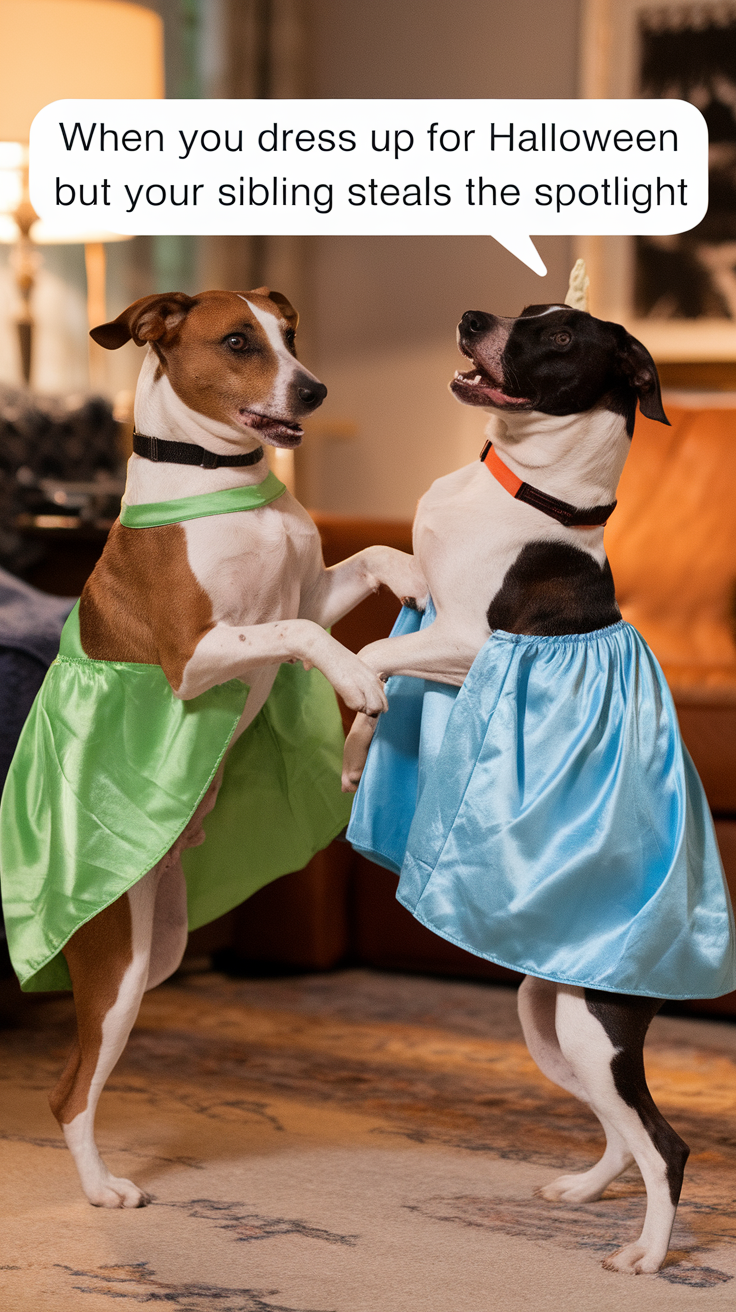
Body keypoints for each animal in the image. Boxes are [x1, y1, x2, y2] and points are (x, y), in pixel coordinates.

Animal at [50, 287, 425, 1207]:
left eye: (289, 335)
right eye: (236, 343)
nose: (316, 390)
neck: (227, 486)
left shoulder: (312, 589)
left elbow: (369, 554)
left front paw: (414, 574)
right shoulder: (195, 657)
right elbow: (295, 635)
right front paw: (357, 679)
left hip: (158, 952)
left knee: (73, 1077)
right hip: (115, 969)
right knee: (71, 1092)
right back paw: (103, 1190)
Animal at [341, 304, 697, 1270]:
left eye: (565, 338)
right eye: (532, 312)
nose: (472, 319)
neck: (519, 486)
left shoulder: (472, 640)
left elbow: (371, 651)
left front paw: (357, 714)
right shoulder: (424, 594)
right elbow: (383, 559)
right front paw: (357, 738)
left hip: (594, 1026)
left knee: (665, 1144)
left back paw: (645, 1256)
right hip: (548, 1014)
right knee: (622, 1133)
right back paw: (580, 1190)